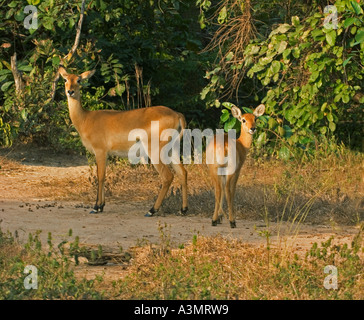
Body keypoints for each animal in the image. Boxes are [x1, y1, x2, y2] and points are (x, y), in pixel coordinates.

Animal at [59, 67, 188, 218]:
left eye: (79, 80)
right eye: (65, 79)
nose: (70, 91)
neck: (86, 119)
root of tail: (177, 115)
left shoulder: (100, 151)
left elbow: (100, 176)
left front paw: (96, 207)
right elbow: (104, 176)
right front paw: (101, 206)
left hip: (155, 150)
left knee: (168, 176)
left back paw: (151, 210)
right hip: (172, 149)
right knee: (183, 172)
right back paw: (183, 209)